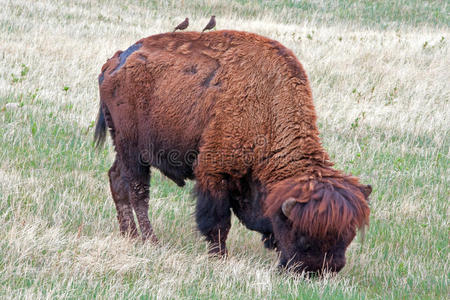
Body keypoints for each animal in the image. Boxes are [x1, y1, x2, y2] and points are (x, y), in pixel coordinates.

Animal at [93, 29, 370, 274]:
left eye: (347, 237)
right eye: (302, 235)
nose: (319, 271)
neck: (267, 106)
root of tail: (115, 61)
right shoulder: (214, 173)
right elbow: (218, 221)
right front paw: (220, 257)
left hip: (122, 147)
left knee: (117, 179)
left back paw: (129, 236)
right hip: (133, 149)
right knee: (138, 191)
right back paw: (150, 240)